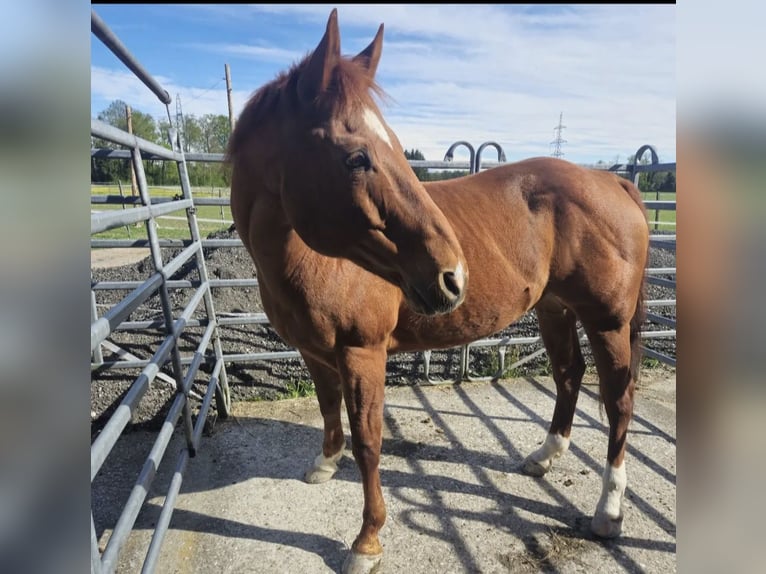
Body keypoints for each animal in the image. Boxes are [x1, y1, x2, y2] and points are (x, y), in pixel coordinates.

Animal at [228, 9, 649, 574]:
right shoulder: (314, 351)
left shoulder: (362, 352)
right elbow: (327, 405)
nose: (454, 277)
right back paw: (544, 457)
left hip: (607, 321)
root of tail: (612, 181)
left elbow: (369, 442)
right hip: (555, 309)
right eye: (356, 157)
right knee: (568, 375)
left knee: (618, 399)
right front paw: (324, 464)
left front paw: (367, 541)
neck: (308, 259)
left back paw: (608, 510)